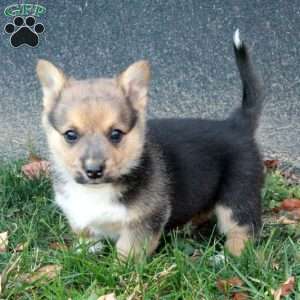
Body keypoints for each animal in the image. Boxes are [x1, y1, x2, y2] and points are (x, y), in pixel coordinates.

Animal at [37, 29, 262, 258]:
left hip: (237, 195)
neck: (98, 190)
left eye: (116, 134)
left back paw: (226, 257)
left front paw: (121, 266)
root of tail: (236, 123)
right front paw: (82, 254)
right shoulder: (80, 220)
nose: (93, 171)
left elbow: (126, 252)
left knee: (244, 230)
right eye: (70, 135)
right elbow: (87, 238)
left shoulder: (143, 223)